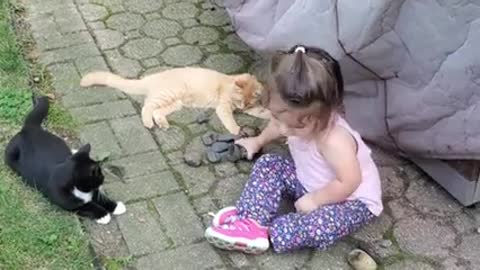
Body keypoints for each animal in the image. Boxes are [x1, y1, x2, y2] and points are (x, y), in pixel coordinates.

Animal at [5, 95, 125, 224]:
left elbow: (101, 199)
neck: (78, 190)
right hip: (9, 154)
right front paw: (103, 215)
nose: (104, 178)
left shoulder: (92, 192)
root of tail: (29, 129)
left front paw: (116, 206)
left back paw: (74, 150)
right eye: (100, 175)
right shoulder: (69, 204)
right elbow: (88, 206)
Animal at [79, 67, 266, 134]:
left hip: (175, 103)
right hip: (167, 95)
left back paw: (162, 124)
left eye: (248, 103)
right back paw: (148, 123)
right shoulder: (224, 107)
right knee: (147, 107)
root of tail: (151, 77)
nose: (241, 108)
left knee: (156, 111)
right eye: (240, 100)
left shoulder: (253, 108)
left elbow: (264, 112)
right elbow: (230, 120)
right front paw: (236, 130)